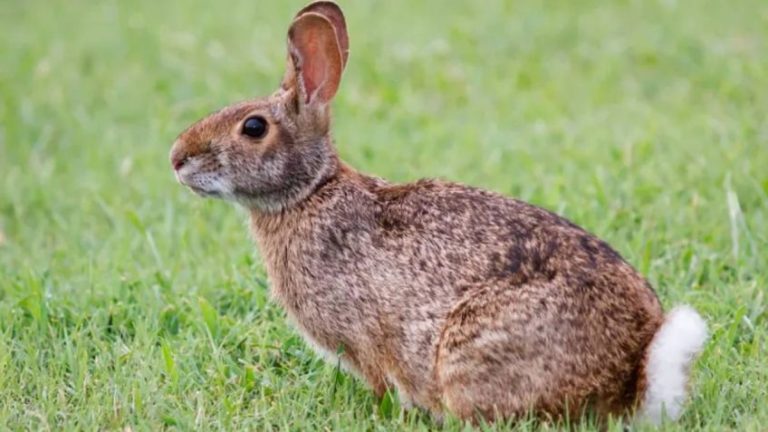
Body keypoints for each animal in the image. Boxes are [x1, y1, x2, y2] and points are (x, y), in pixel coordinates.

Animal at [169, 1, 707, 425]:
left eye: (253, 127)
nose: (176, 158)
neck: (309, 193)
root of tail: (629, 379)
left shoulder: (365, 336)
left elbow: (380, 381)